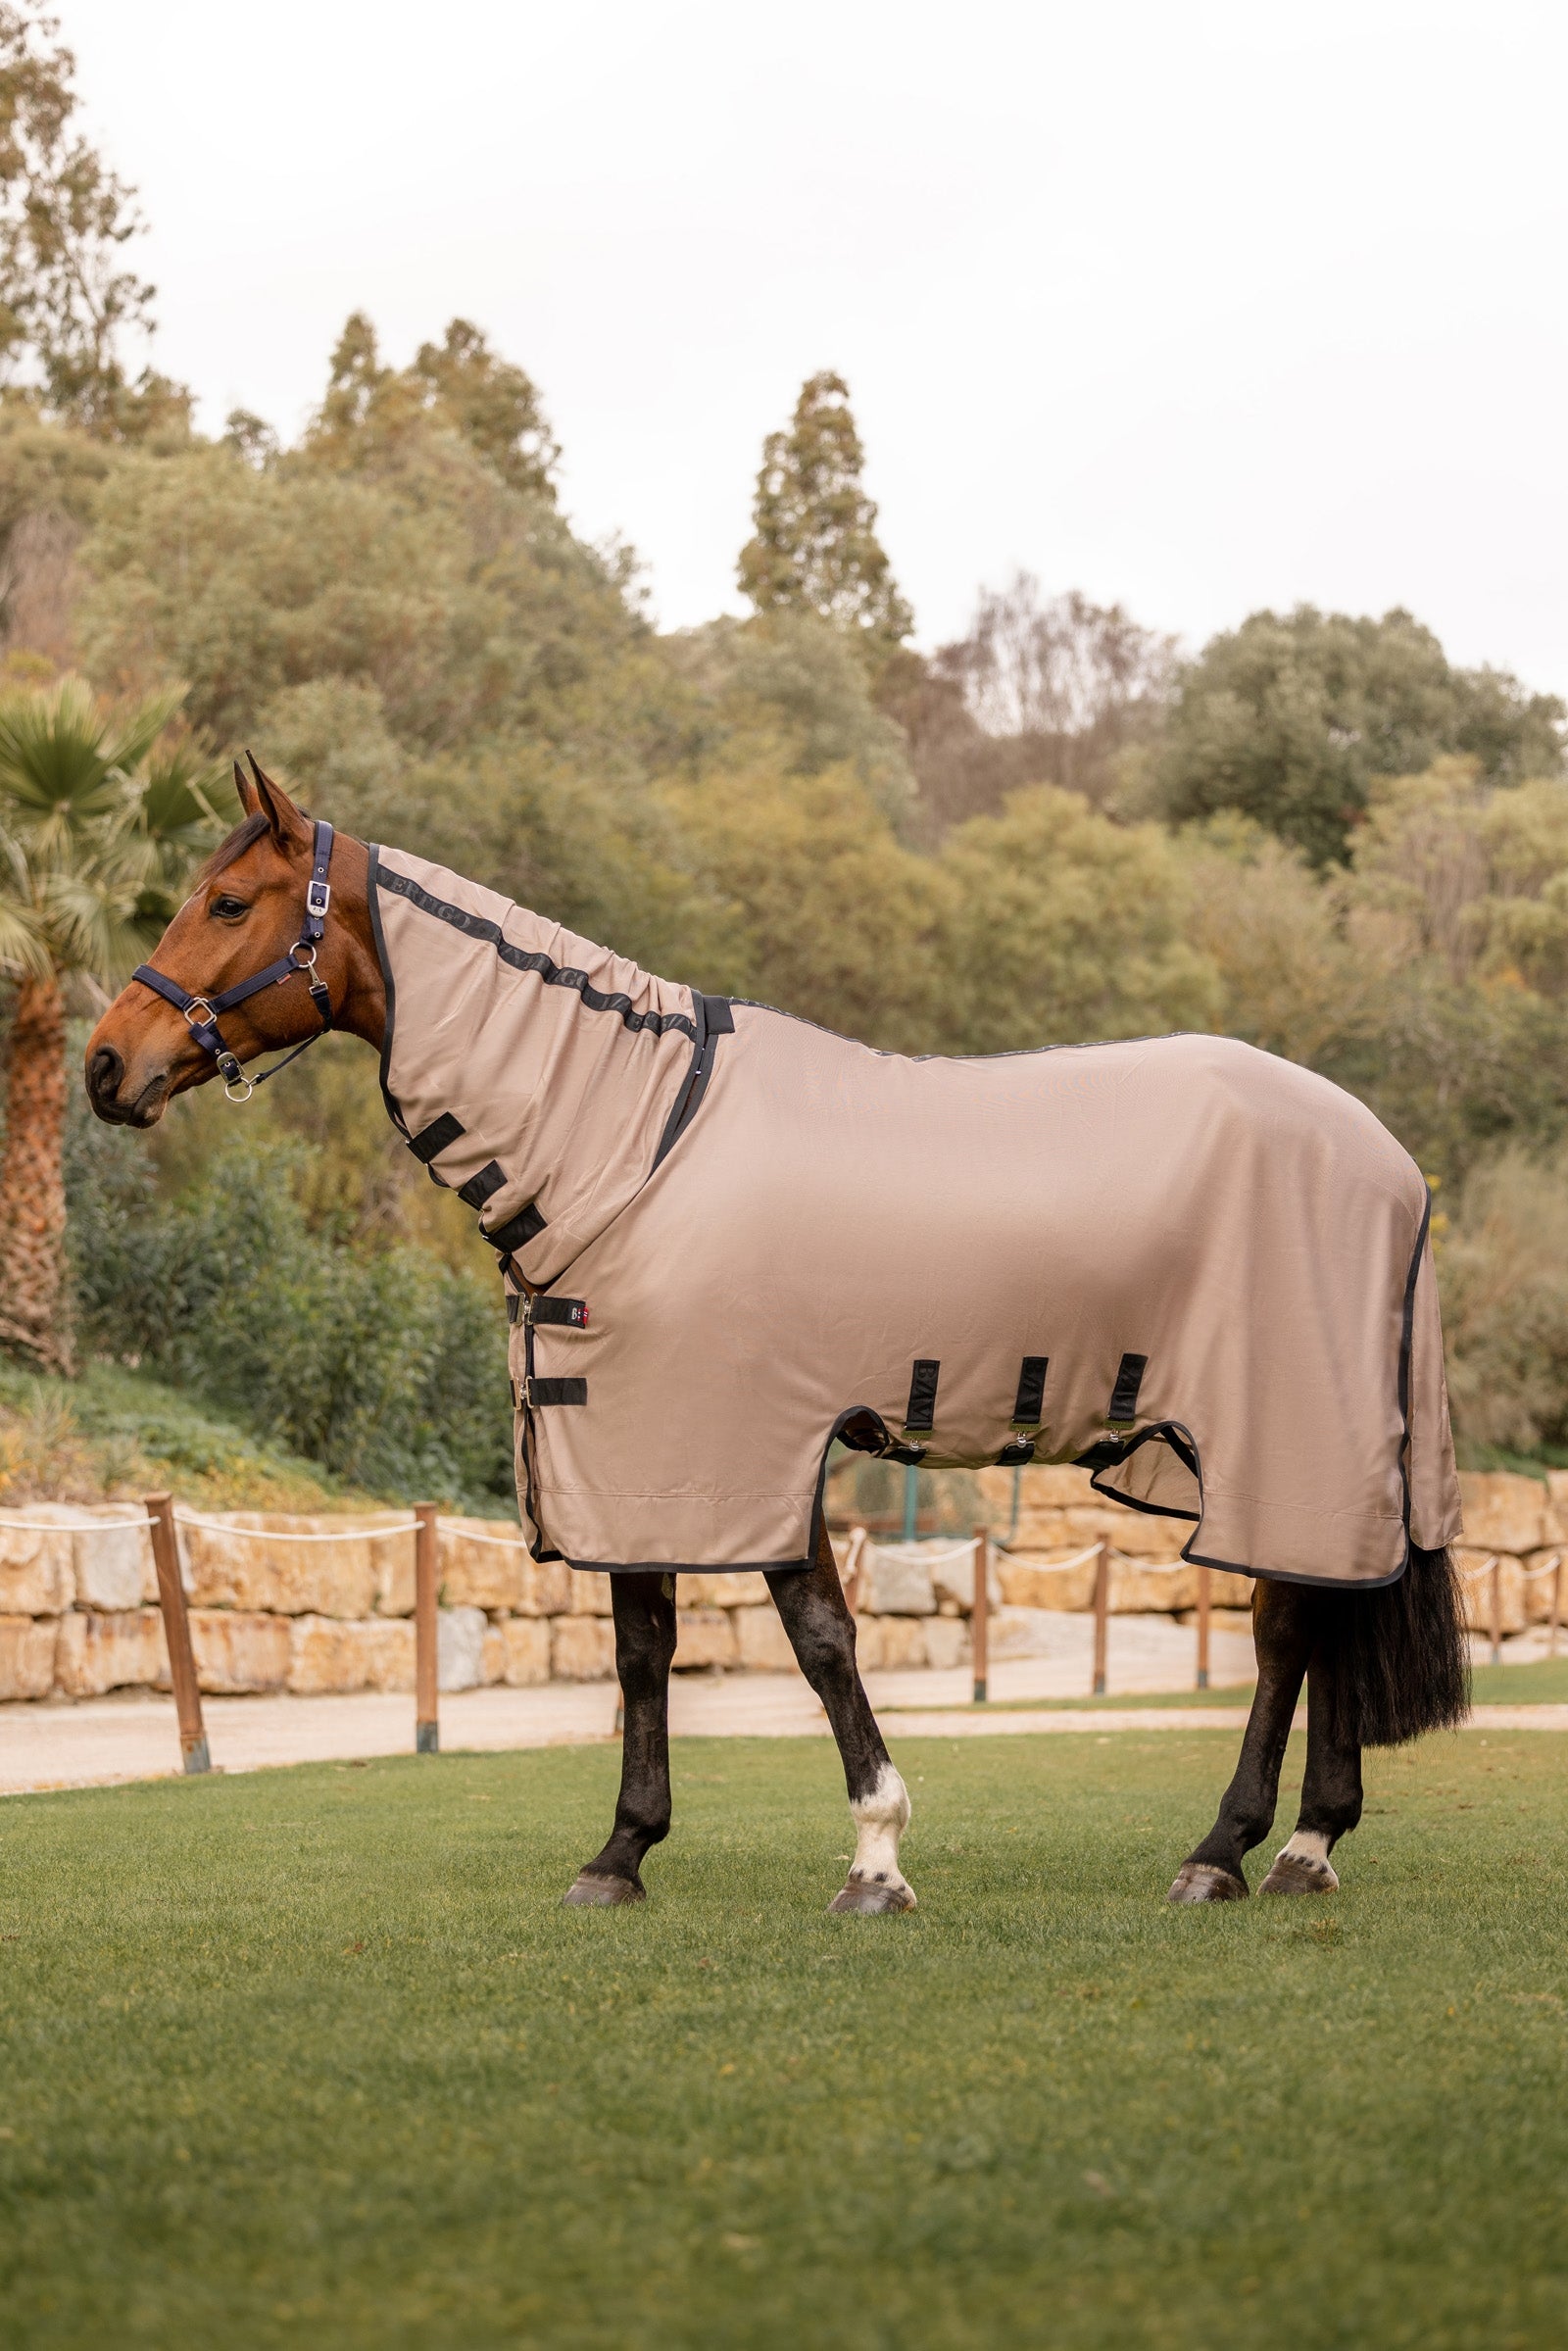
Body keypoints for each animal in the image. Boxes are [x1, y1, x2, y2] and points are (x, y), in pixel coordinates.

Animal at [84, 759, 1470, 1913]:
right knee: (1324, 1609)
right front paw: (621, 1852)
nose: (104, 1065)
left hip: (1281, 1432)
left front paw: (876, 1857)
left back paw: (1223, 1849)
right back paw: (1305, 1845)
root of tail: (1390, 1158)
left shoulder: (747, 1438)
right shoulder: (635, 1454)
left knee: (1286, 1626)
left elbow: (817, 1640)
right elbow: (645, 1648)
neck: (635, 1136)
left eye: (226, 902)